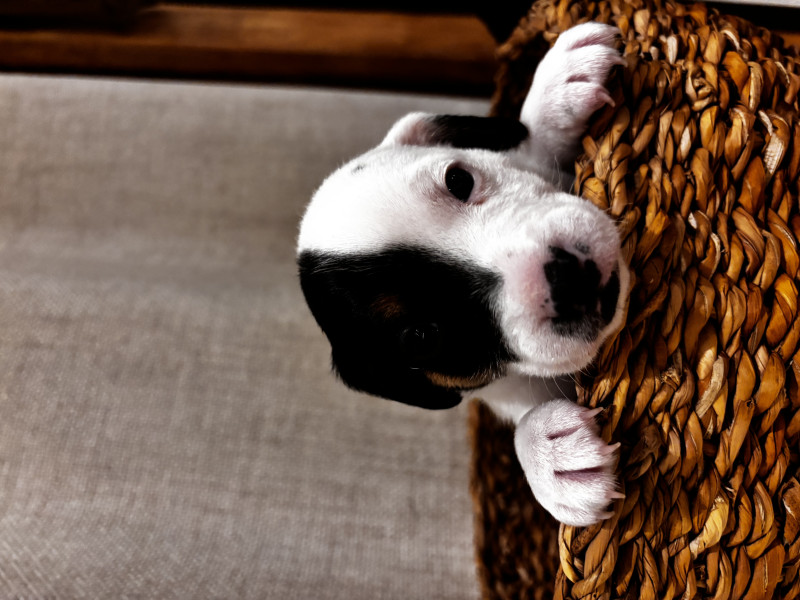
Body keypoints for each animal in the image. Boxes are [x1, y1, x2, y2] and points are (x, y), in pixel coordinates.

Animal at [297, 22, 630, 527]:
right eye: (421, 338)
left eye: (459, 179)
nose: (566, 280)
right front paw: (546, 455)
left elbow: (532, 149)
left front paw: (553, 94)